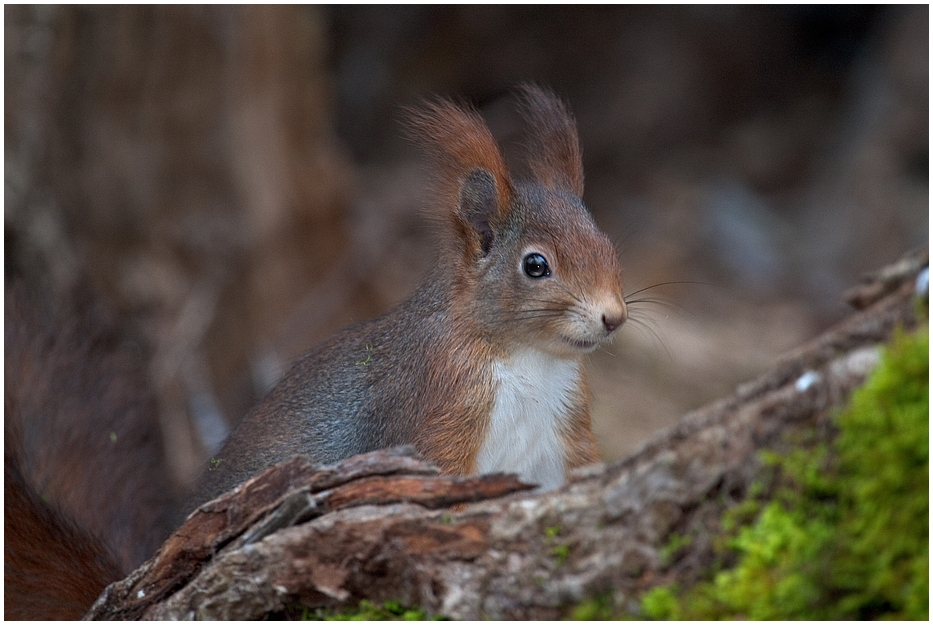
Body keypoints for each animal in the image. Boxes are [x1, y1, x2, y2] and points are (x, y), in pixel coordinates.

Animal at [198, 86, 628, 502]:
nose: (614, 317)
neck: (530, 359)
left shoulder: (569, 428)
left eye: (607, 244)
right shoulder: (440, 408)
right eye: (535, 265)